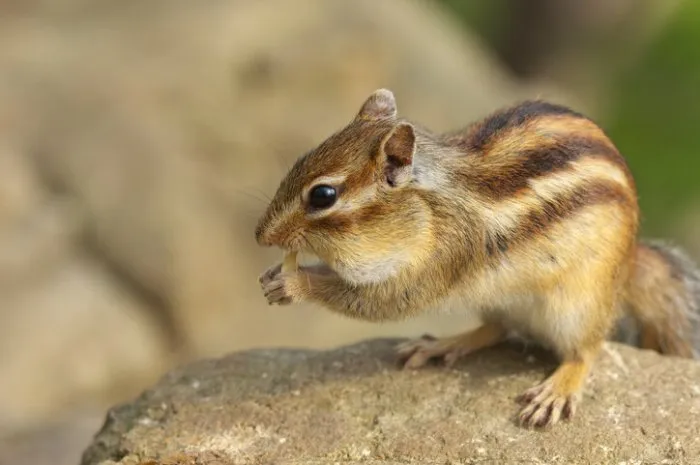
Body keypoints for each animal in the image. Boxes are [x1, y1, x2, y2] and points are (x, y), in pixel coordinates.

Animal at [255, 89, 700, 429]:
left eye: (323, 196)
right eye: (300, 160)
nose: (260, 235)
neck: (427, 206)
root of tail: (629, 263)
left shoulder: (446, 255)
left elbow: (385, 301)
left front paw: (296, 282)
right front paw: (278, 273)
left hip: (579, 303)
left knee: (586, 350)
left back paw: (559, 387)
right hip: (499, 300)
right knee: (496, 329)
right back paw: (445, 343)